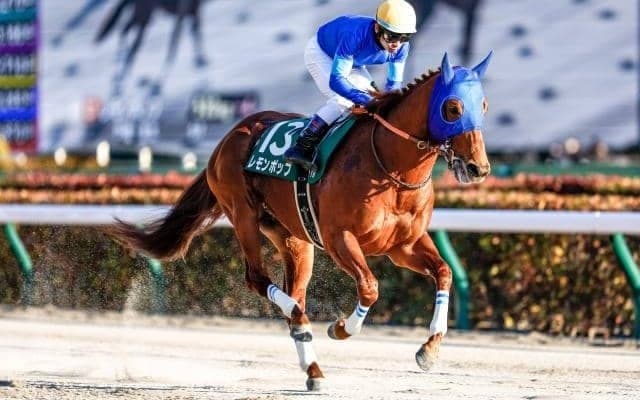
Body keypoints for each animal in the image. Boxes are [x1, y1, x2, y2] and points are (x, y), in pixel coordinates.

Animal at [108, 52, 492, 391]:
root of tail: (228, 138)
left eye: (484, 106)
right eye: (453, 107)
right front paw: (340, 328)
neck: (390, 167)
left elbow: (443, 272)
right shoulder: (340, 238)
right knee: (258, 279)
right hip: (243, 215)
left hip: (294, 239)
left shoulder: (403, 245)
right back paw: (302, 322)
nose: (478, 168)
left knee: (293, 293)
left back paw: (313, 366)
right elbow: (370, 286)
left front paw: (429, 349)